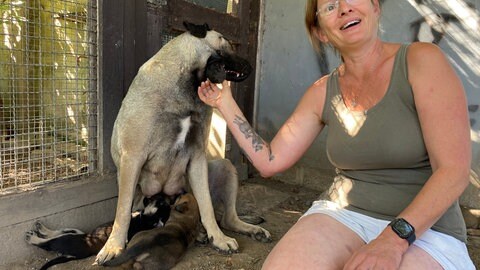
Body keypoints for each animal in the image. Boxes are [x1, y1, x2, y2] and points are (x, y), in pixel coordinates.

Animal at [24, 193, 171, 268]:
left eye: (160, 203)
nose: (159, 196)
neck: (145, 220)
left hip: (70, 239)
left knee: (48, 242)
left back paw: (32, 237)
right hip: (77, 232)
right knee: (60, 231)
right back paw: (40, 227)